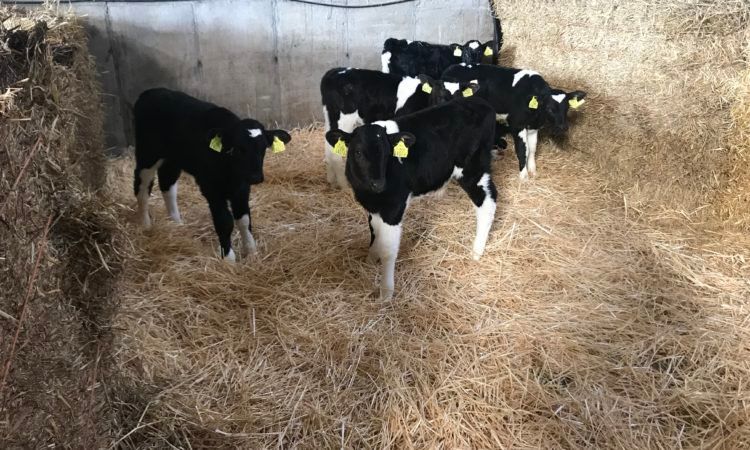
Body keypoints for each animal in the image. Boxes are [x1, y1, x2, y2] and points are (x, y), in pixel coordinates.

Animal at [132, 88, 291, 261]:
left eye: (263, 148)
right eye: (237, 148)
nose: (255, 177)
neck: (230, 172)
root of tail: (151, 91)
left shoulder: (242, 188)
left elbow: (244, 219)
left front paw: (251, 251)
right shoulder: (211, 188)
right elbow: (225, 222)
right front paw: (229, 259)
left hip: (172, 159)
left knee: (168, 184)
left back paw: (176, 222)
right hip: (147, 154)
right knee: (142, 187)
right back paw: (145, 224)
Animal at [321, 67, 479, 188]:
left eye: (460, 96)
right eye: (439, 94)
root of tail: (335, 71)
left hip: (331, 119)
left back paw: (331, 180)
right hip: (343, 120)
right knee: (335, 153)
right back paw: (344, 185)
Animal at [325, 96, 498, 300]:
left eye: (387, 153)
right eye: (357, 152)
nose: (378, 184)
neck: (368, 193)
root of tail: (479, 102)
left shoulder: (394, 207)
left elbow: (388, 250)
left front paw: (386, 292)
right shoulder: (372, 207)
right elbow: (374, 232)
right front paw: (370, 259)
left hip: (473, 170)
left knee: (488, 203)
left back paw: (476, 251)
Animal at [442, 63, 587, 179]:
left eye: (567, 108)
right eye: (550, 108)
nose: (563, 127)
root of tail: (452, 67)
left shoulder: (533, 127)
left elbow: (532, 149)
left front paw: (533, 170)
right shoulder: (518, 125)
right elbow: (523, 150)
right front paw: (524, 176)